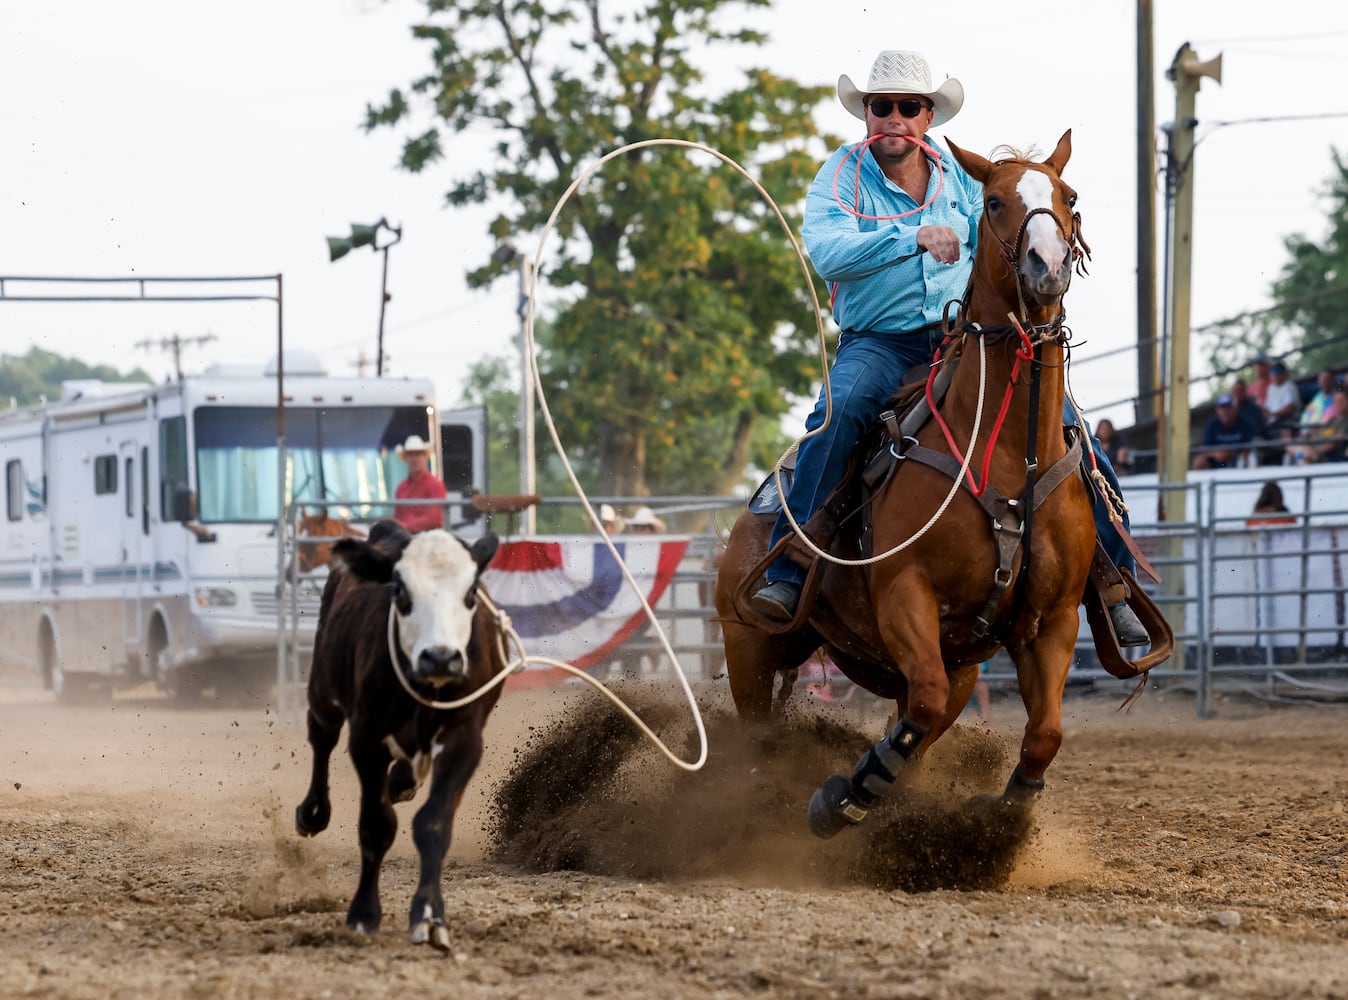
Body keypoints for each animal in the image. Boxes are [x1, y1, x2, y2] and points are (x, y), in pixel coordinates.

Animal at [296, 520, 506, 954]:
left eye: (470, 592)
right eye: (401, 591)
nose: (441, 657)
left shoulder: (464, 738)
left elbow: (433, 825)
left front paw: (429, 917)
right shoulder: (367, 739)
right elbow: (376, 825)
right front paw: (363, 913)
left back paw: (401, 782)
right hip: (323, 687)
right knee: (321, 735)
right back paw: (313, 811)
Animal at [717, 131, 1094, 835]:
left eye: (1070, 196)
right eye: (993, 201)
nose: (1048, 264)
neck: (1008, 455)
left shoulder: (1052, 616)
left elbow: (1045, 733)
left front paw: (1006, 816)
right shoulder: (904, 590)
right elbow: (924, 703)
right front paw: (843, 796)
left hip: (937, 664)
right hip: (747, 642)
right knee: (754, 737)